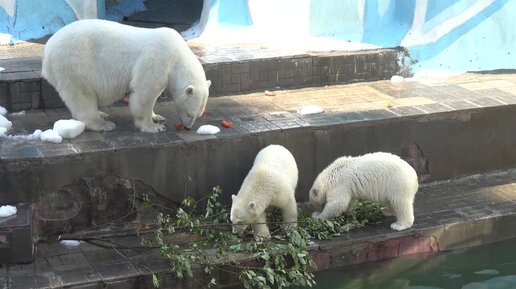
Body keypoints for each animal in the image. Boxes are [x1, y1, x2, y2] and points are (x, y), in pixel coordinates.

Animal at [42, 19, 212, 132]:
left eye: (199, 114)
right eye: (190, 113)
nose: (188, 127)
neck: (177, 56)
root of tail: (48, 52)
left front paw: (157, 116)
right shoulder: (157, 59)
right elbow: (145, 93)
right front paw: (153, 126)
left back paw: (102, 114)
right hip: (75, 62)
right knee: (82, 95)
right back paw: (103, 124)